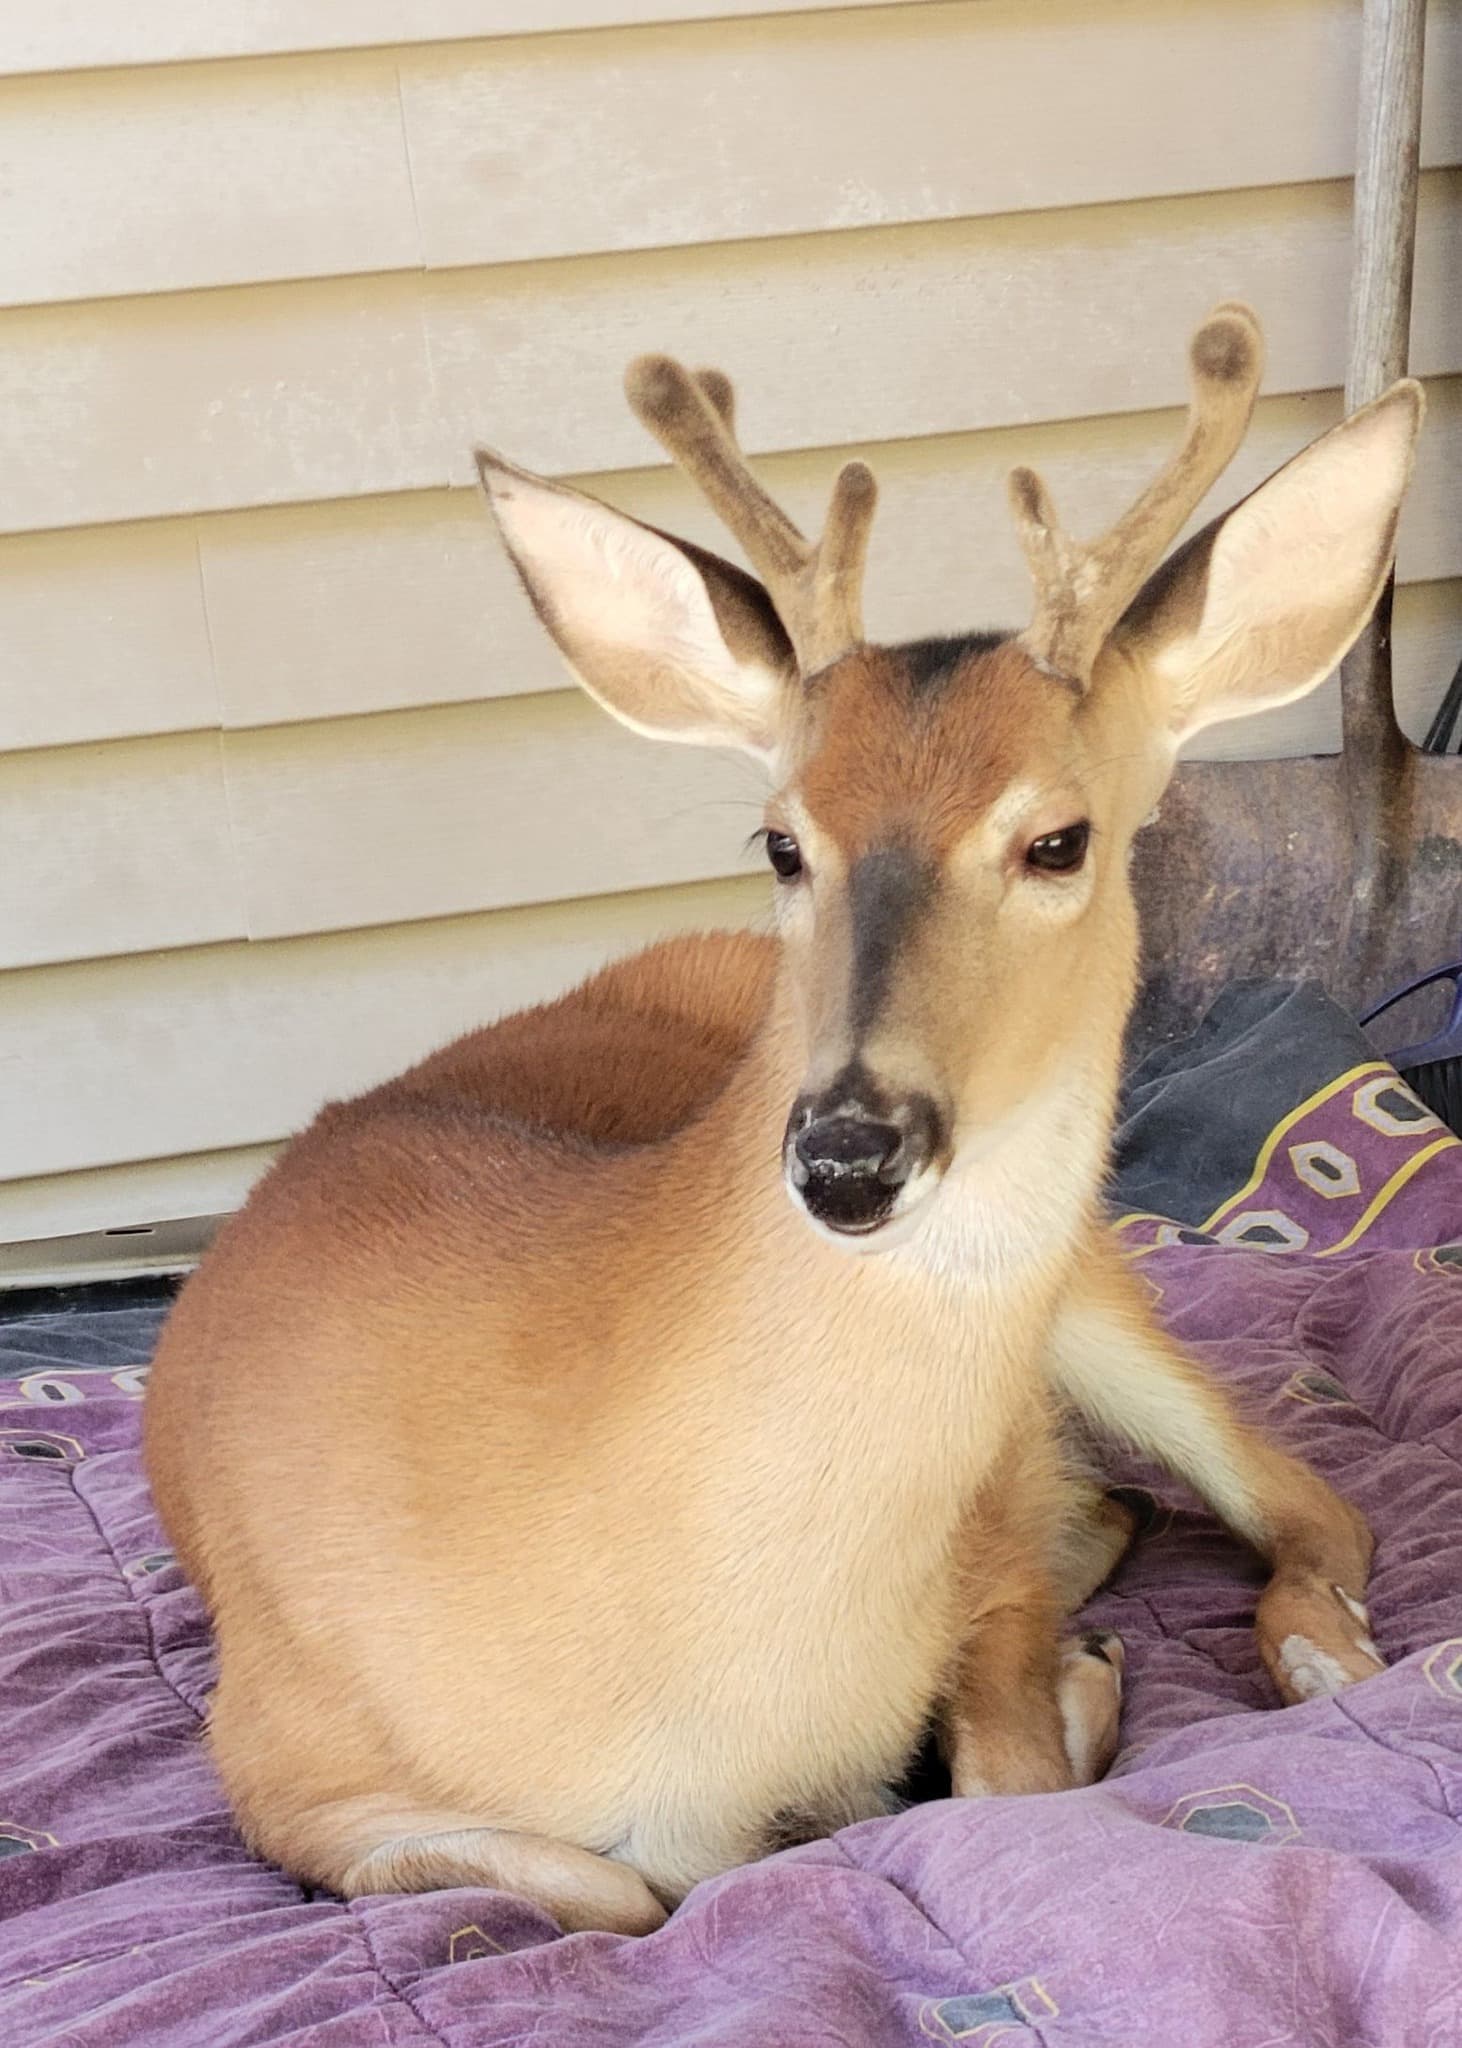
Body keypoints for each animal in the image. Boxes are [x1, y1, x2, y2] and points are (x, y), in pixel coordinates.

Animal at [144, 305, 1420, 1938]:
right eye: (780, 841)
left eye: (1057, 839)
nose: (849, 1152)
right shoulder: (272, 1747)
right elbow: (613, 1887)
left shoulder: (986, 1526)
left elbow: (996, 1773)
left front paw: (1064, 1688)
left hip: (1094, 1293)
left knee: (1308, 1499)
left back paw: (1316, 1649)